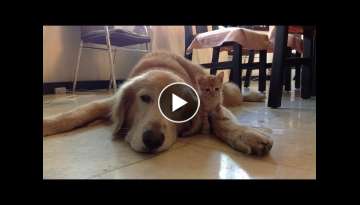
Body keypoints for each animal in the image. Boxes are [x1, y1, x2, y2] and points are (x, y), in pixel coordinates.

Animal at [43, 51, 272, 155]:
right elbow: (77, 112)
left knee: (235, 92)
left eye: (178, 106)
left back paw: (257, 95)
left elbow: (223, 121)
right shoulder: (109, 101)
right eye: (144, 98)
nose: (152, 139)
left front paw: (246, 135)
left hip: (221, 90)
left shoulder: (211, 104)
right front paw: (48, 124)